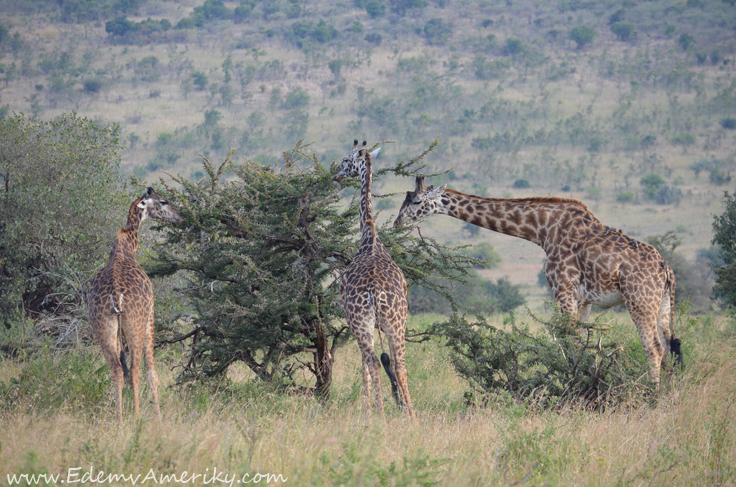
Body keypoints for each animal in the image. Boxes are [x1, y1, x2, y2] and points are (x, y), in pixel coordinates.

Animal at [88, 188, 183, 424]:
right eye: (163, 201)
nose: (181, 215)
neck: (127, 247)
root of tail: (115, 293)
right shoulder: (150, 316)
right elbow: (152, 373)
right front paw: (158, 418)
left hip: (103, 327)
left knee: (117, 371)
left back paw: (120, 421)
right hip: (136, 325)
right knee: (134, 370)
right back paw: (137, 417)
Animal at [336, 139, 416, 418]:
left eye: (345, 161)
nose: (336, 175)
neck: (369, 236)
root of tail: (375, 294)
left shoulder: (355, 322)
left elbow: (364, 369)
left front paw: (368, 412)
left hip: (362, 324)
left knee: (372, 363)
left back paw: (378, 415)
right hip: (397, 322)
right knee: (400, 365)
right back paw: (413, 417)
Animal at [396, 177, 680, 386]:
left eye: (417, 200)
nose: (398, 222)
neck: (542, 230)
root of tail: (666, 270)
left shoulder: (562, 288)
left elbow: (569, 341)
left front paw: (573, 386)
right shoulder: (584, 298)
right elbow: (582, 343)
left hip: (639, 300)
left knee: (654, 348)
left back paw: (652, 395)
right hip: (663, 304)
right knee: (670, 346)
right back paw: (670, 396)